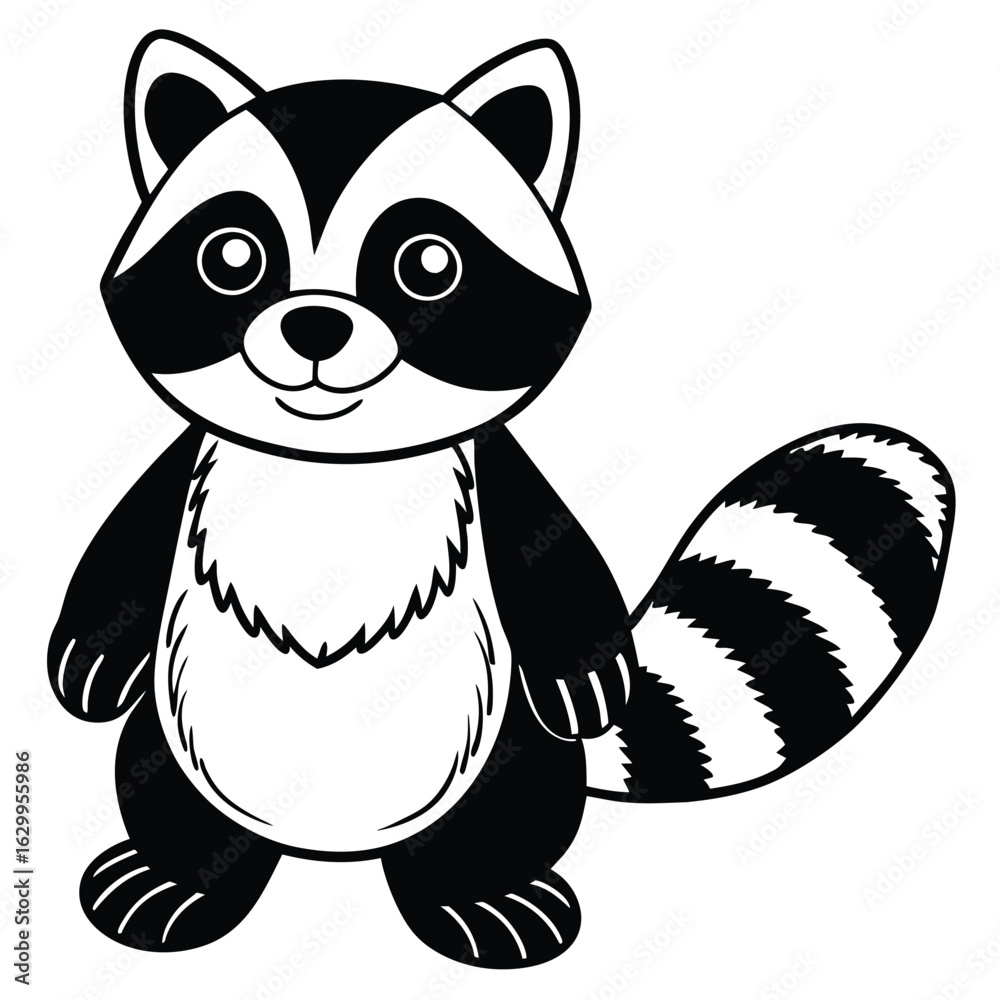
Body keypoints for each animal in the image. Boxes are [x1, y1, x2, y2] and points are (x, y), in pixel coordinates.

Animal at [49, 30, 955, 968]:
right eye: (232, 256)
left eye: (428, 264)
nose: (315, 325)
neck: (336, 461)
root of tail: (334, 851)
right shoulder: (189, 461)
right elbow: (130, 542)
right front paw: (90, 651)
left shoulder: (502, 481)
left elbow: (552, 555)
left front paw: (589, 669)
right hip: (172, 741)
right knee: (172, 798)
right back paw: (182, 880)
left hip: (506, 752)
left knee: (492, 817)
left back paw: (478, 896)